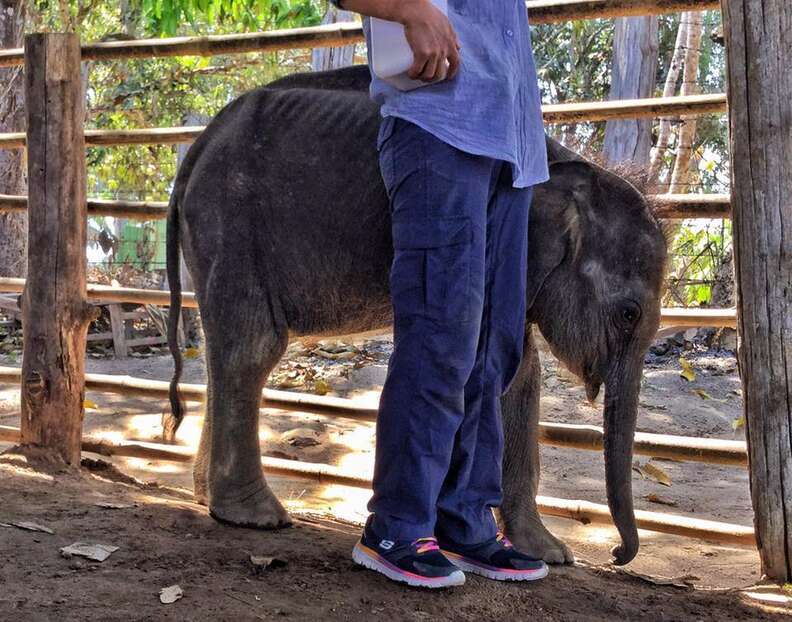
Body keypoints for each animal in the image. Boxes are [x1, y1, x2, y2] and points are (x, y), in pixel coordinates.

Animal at [167, 66, 668, 568]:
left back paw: (206, 498)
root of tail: (201, 143)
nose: (616, 554)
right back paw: (256, 517)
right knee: (253, 347)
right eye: (628, 313)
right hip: (232, 221)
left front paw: (547, 555)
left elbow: (520, 373)